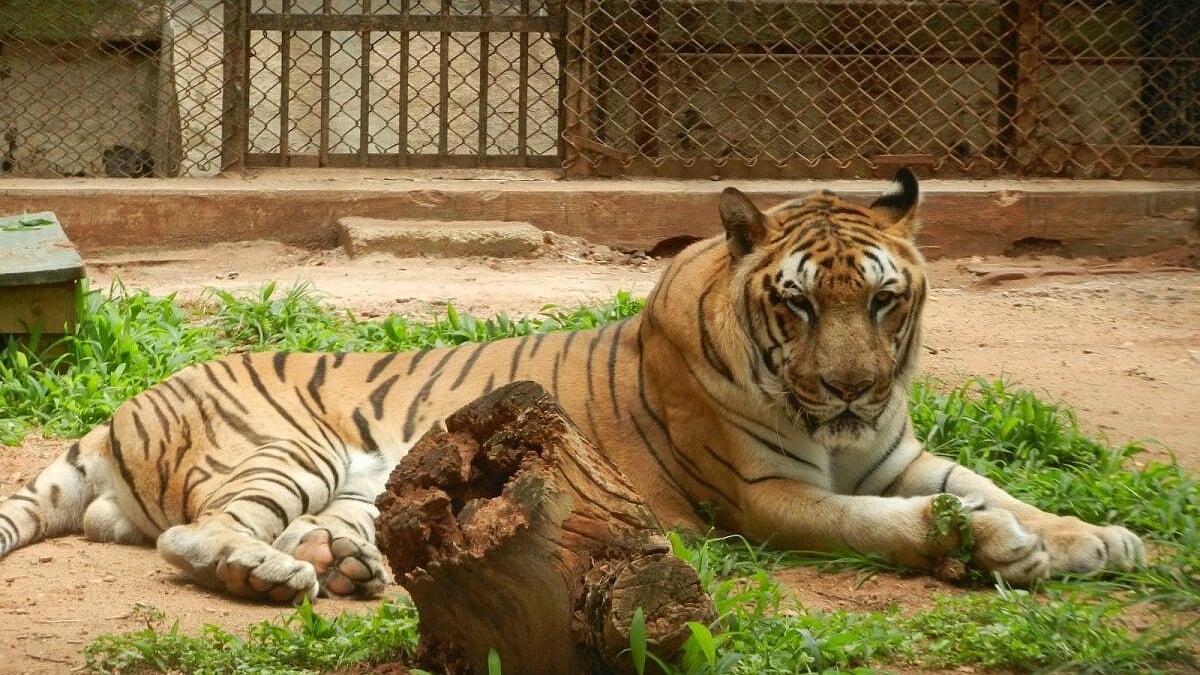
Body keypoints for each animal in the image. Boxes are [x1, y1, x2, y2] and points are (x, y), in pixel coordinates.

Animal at [0, 170, 1144, 602]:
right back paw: (275, 576)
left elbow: (996, 485)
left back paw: (346, 566)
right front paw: (992, 548)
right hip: (289, 447)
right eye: (798, 306)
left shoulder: (900, 452)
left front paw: (1097, 538)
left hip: (369, 487)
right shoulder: (766, 497)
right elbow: (883, 523)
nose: (855, 390)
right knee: (198, 537)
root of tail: (113, 414)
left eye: (882, 300)